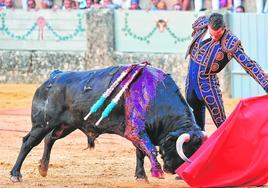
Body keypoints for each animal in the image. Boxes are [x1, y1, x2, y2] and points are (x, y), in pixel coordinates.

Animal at [9, 64, 204, 182]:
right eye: (183, 150)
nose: (174, 171)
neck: (157, 94)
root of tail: (55, 76)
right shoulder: (136, 131)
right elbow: (148, 149)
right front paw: (154, 173)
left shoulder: (138, 132)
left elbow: (140, 152)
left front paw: (140, 176)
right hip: (42, 124)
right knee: (28, 142)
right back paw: (15, 174)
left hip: (65, 126)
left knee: (49, 139)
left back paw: (43, 168)